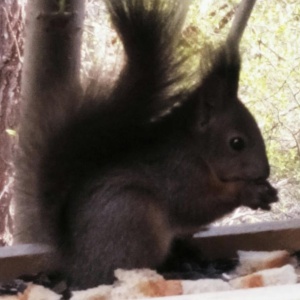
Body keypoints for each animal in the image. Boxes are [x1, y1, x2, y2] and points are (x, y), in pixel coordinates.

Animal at [13, 0, 276, 290]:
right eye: (237, 143)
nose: (265, 172)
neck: (196, 151)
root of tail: (74, 262)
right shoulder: (179, 175)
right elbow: (197, 205)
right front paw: (249, 192)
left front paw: (267, 192)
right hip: (133, 216)